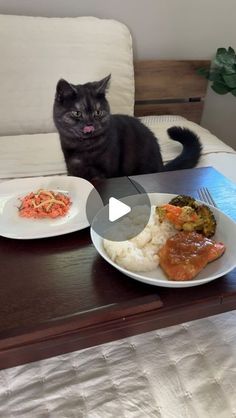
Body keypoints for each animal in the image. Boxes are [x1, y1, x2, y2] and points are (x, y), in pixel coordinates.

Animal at [53, 74, 201, 180]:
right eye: (77, 113)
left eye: (98, 112)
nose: (90, 124)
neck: (84, 148)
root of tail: (161, 168)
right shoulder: (72, 170)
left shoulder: (106, 172)